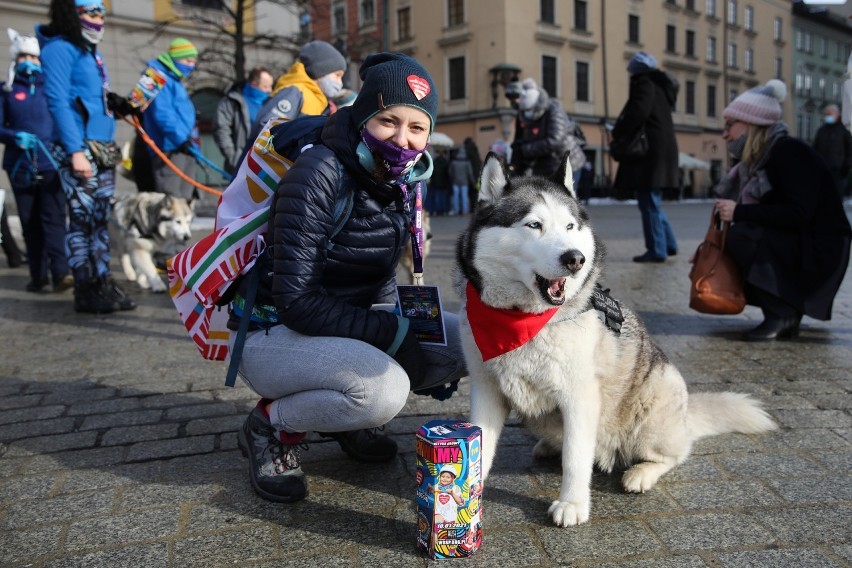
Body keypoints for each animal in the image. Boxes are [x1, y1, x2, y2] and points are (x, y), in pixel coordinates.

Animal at [456, 154, 776, 528]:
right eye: (534, 225)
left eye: (570, 227)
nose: (575, 259)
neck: (523, 321)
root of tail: (685, 417)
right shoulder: (487, 391)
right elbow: (481, 444)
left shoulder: (579, 397)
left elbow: (576, 457)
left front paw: (573, 504)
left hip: (652, 407)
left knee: (675, 454)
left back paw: (641, 473)